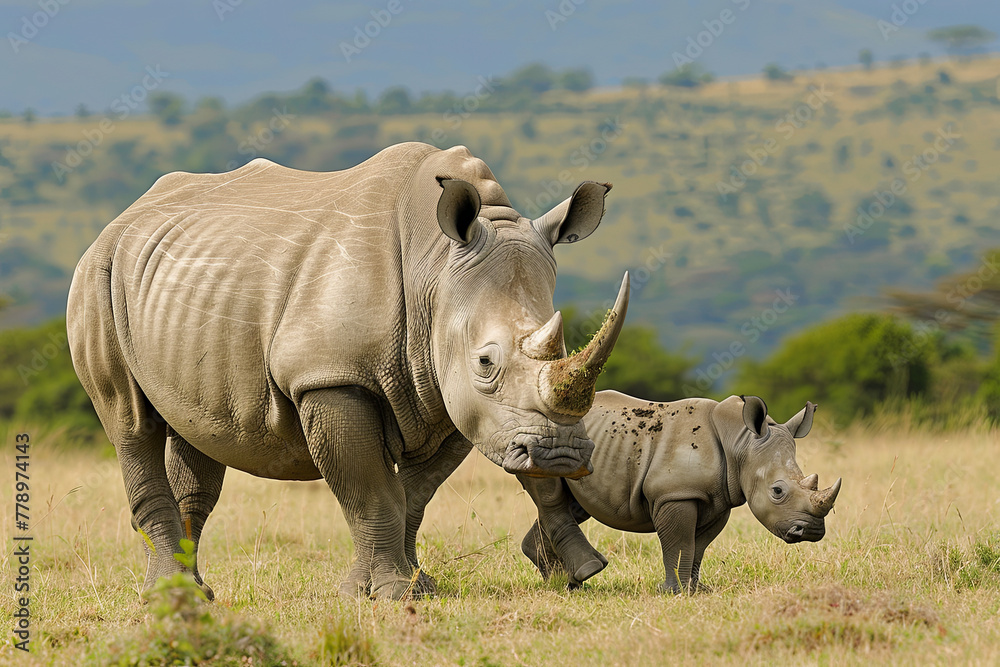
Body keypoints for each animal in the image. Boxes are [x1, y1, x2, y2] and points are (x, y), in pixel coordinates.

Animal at [67, 142, 631, 600]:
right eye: (485, 363)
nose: (560, 455)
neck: (435, 270)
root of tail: (123, 216)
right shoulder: (333, 376)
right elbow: (369, 490)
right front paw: (392, 592)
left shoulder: (455, 401)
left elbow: (411, 496)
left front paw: (395, 587)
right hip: (97, 273)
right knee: (130, 423)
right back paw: (166, 595)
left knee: (195, 432)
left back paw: (192, 591)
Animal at [518, 392, 841, 592]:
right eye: (777, 491)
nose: (812, 531)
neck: (740, 442)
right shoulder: (676, 493)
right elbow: (679, 542)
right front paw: (674, 591)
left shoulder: (717, 499)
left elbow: (698, 546)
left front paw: (697, 589)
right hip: (534, 436)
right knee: (550, 496)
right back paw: (580, 575)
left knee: (574, 506)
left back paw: (564, 583)